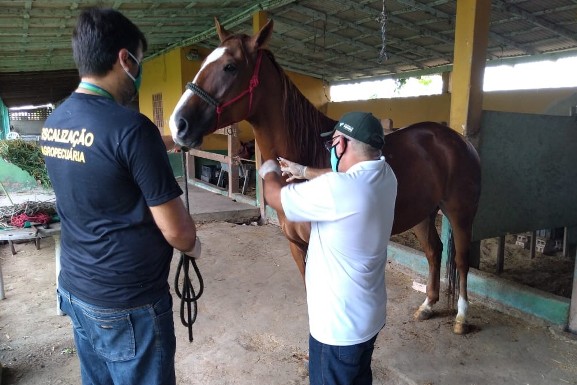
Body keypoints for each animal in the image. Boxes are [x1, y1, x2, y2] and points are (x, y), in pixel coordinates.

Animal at [169, 18, 480, 332]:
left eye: (230, 66)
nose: (178, 125)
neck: (307, 149)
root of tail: (457, 139)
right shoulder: (297, 246)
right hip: (423, 214)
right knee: (434, 251)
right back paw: (427, 305)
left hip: (460, 213)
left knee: (461, 260)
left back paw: (461, 317)